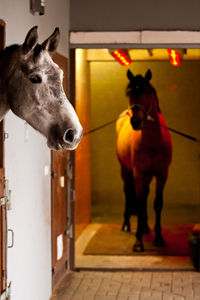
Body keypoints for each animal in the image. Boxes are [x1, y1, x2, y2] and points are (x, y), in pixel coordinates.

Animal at [116, 69, 173, 252]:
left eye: (146, 93)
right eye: (129, 93)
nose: (135, 122)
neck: (153, 142)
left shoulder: (162, 175)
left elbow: (157, 203)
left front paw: (159, 238)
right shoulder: (138, 174)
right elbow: (140, 204)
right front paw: (138, 242)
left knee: (146, 196)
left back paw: (146, 227)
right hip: (126, 171)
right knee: (128, 192)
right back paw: (127, 224)